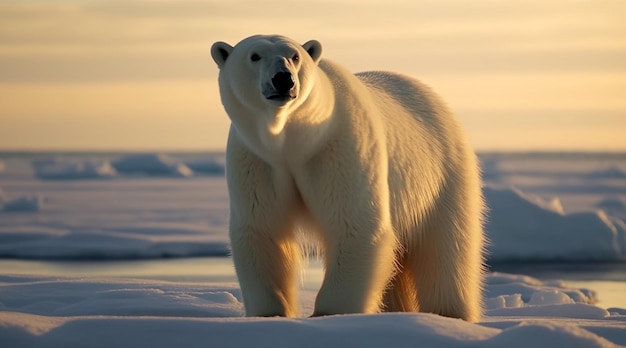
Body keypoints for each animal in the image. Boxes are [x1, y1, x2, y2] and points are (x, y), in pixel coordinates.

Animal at [210, 34, 482, 322]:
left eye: (295, 56)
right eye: (255, 55)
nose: (283, 79)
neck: (293, 142)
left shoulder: (339, 147)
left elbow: (353, 224)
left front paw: (330, 314)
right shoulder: (257, 160)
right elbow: (262, 229)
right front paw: (270, 314)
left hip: (444, 176)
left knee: (447, 251)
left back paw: (449, 313)